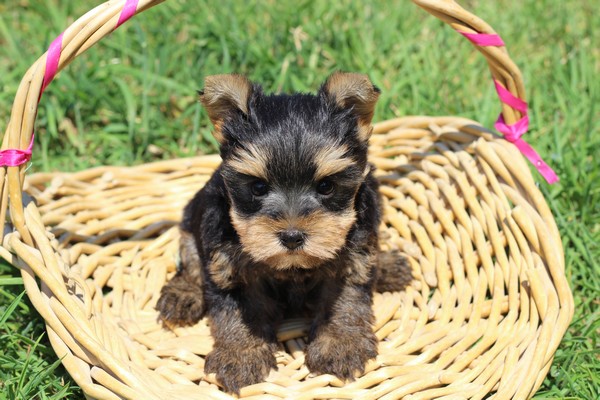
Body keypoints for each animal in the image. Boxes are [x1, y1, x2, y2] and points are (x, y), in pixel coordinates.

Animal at [156, 72, 409, 393]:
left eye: (326, 186)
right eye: (258, 187)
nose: (291, 237)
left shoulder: (354, 258)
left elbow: (346, 300)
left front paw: (340, 344)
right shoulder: (225, 263)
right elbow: (235, 311)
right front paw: (241, 355)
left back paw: (388, 265)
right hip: (191, 221)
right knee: (189, 260)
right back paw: (182, 295)